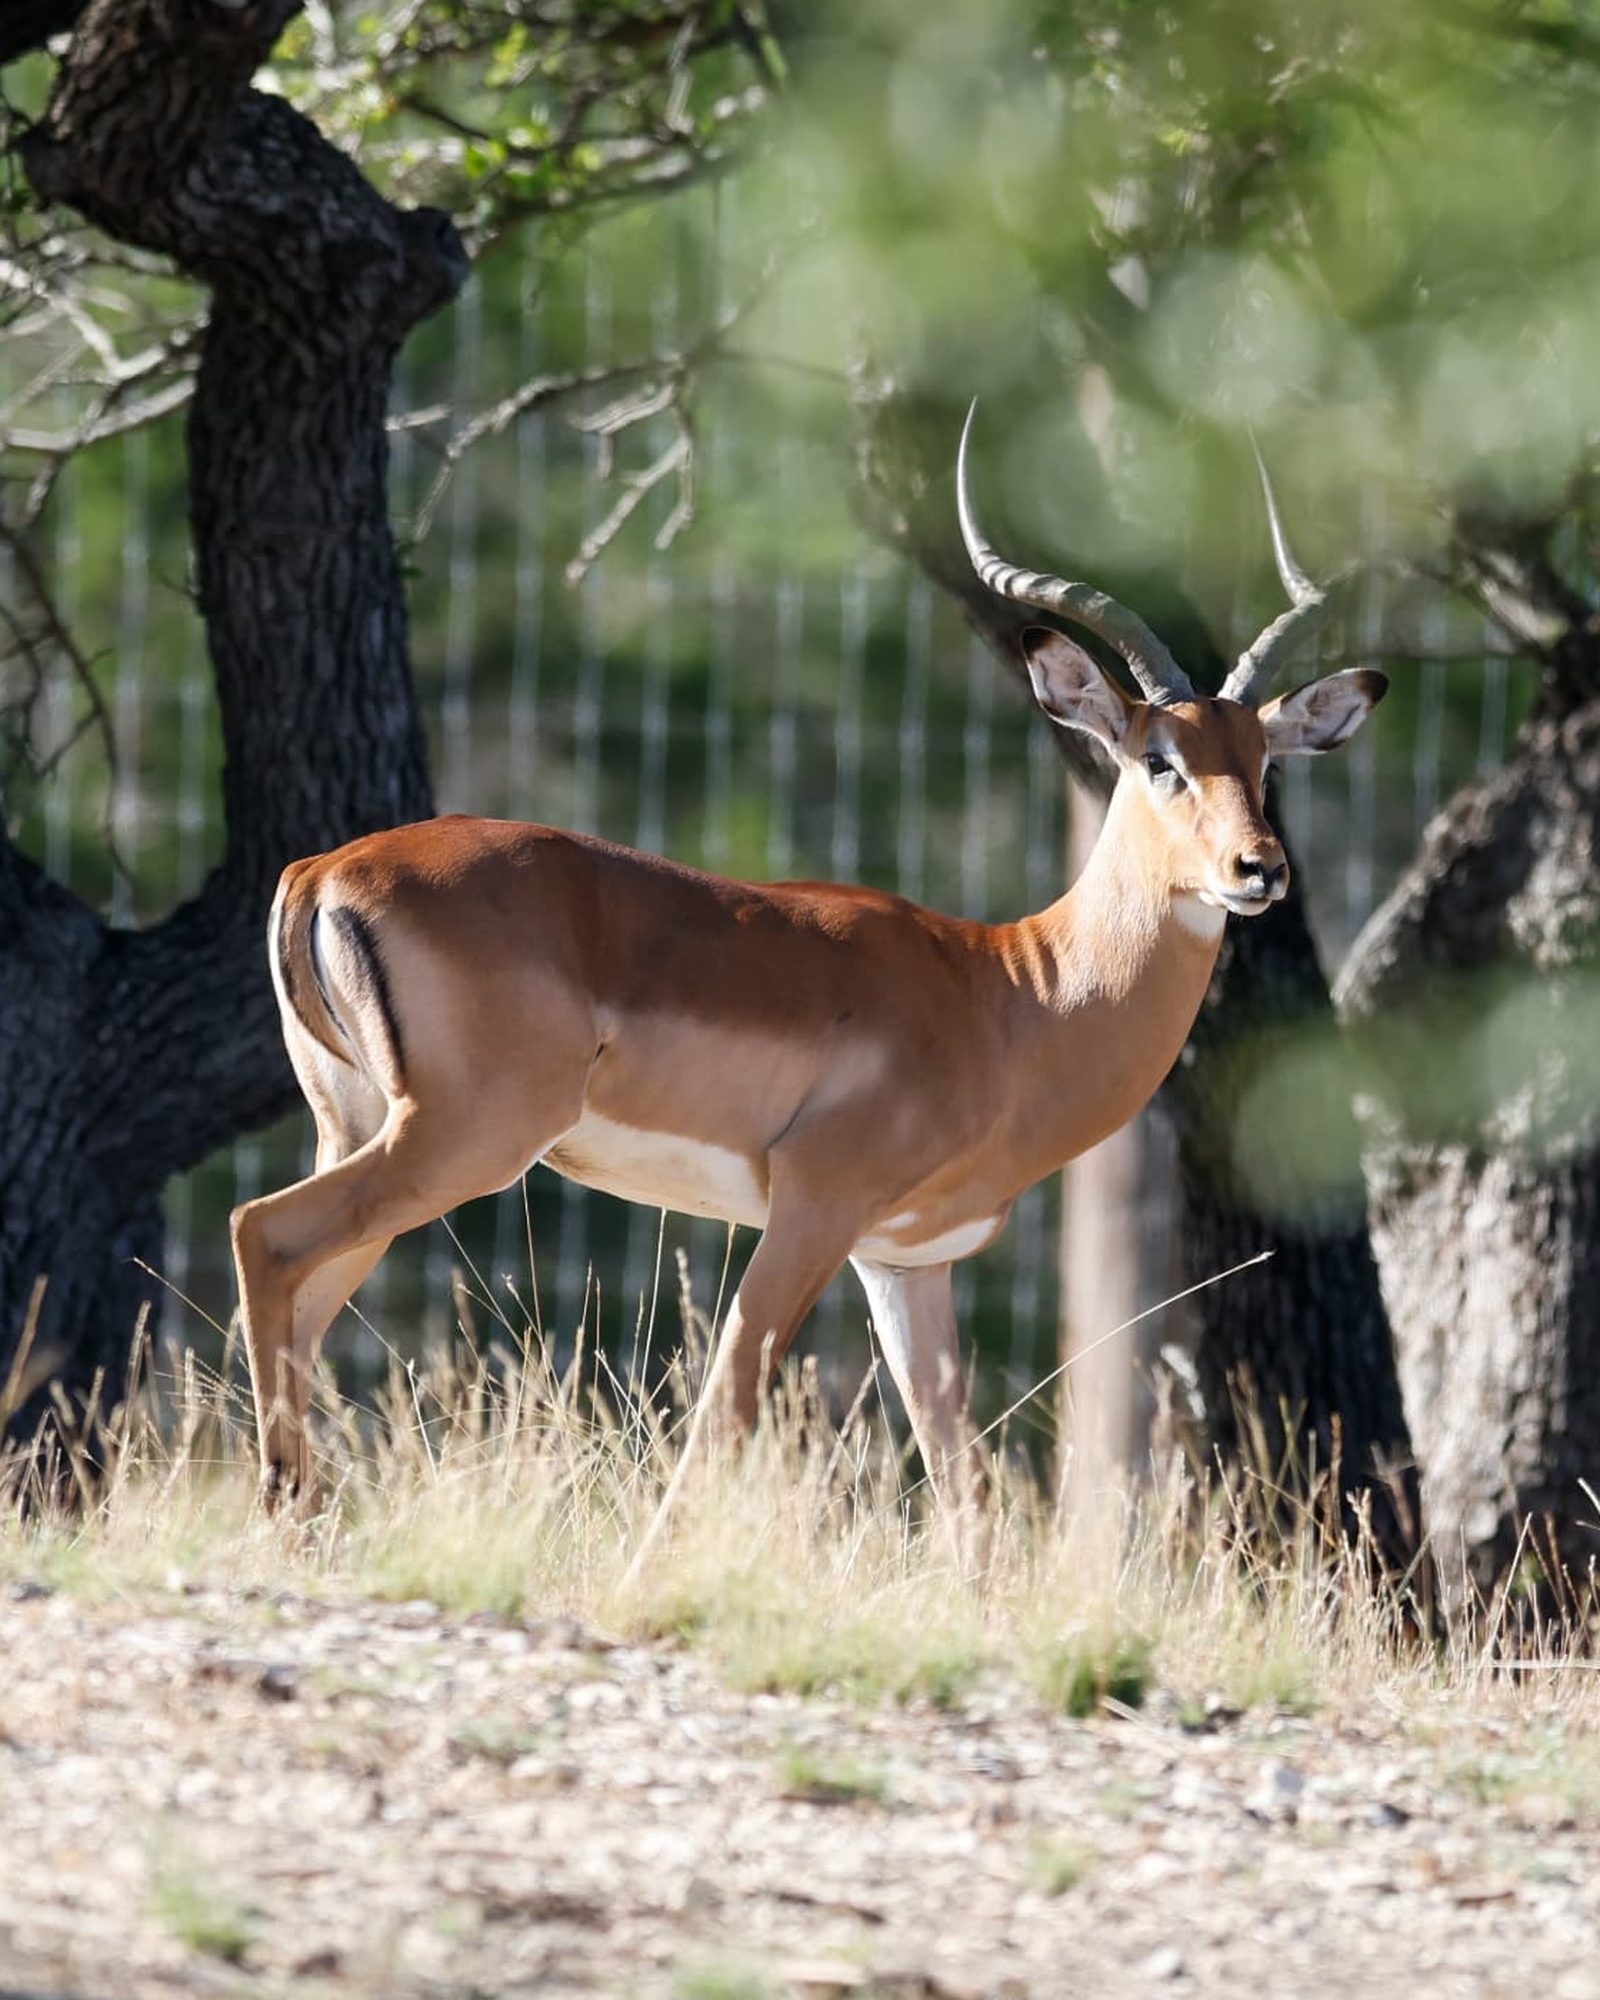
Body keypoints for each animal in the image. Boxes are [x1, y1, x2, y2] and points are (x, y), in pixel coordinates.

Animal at [231, 409, 1384, 1530]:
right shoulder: (816, 1207)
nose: (1260, 869)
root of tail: (320, 869)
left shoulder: (905, 1262)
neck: (1016, 996)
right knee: (264, 1232)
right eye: (1159, 759)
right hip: (462, 1137)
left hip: (365, 1128)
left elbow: (964, 1492)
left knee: (299, 1289)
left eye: (1264, 762)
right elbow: (722, 1416)